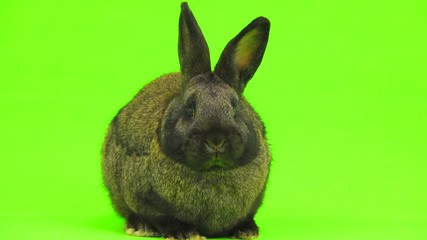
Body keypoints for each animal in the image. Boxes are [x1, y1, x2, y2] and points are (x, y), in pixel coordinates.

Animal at [101, 1, 270, 240]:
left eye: (235, 107)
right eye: (190, 108)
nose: (216, 139)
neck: (214, 171)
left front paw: (247, 230)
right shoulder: (146, 199)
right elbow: (164, 218)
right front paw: (185, 233)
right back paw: (140, 227)